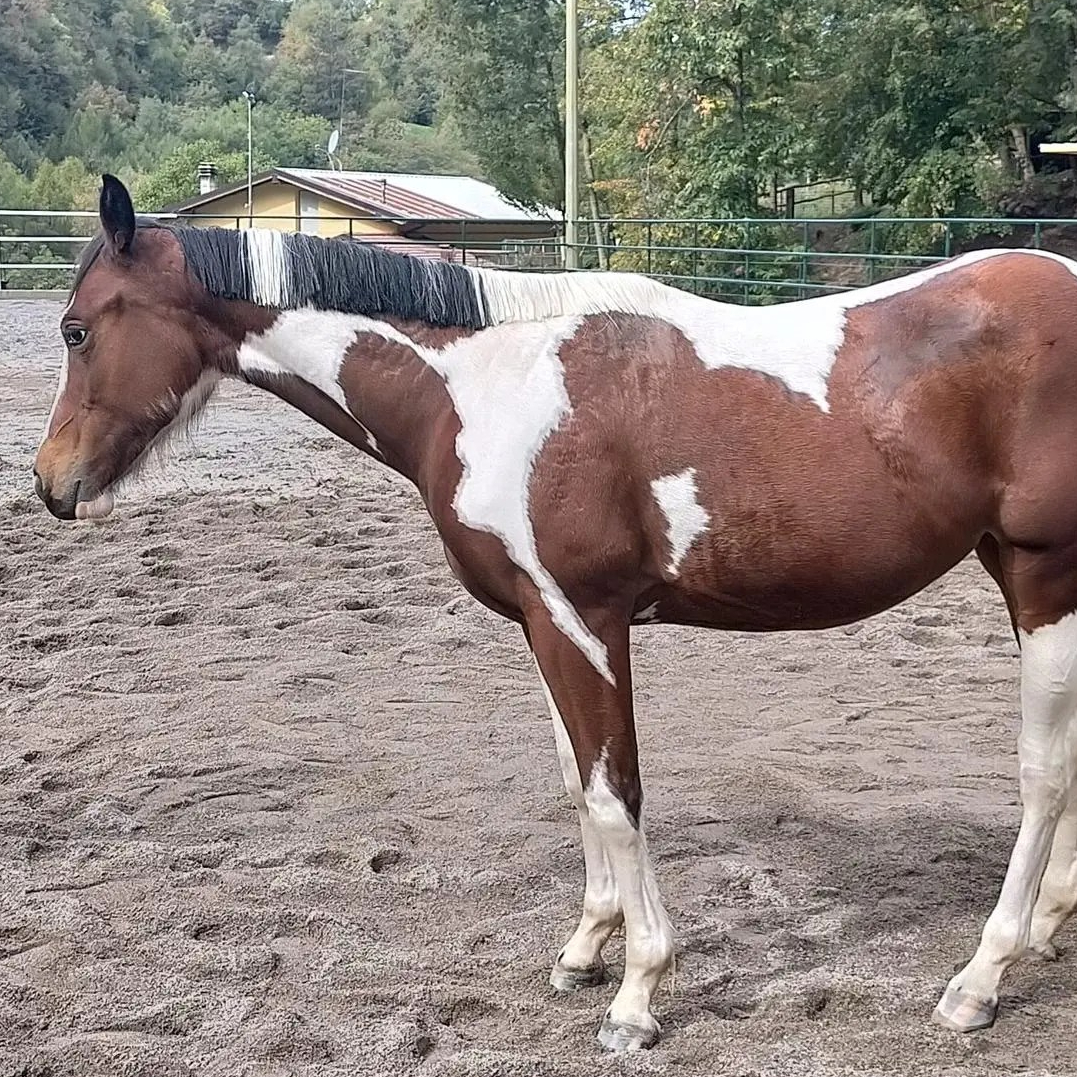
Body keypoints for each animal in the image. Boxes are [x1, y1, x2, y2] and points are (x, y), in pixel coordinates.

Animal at [31, 174, 1077, 1051]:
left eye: (77, 330)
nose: (50, 484)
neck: (483, 386)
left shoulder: (583, 617)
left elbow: (618, 792)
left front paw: (638, 994)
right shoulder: (540, 622)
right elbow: (581, 783)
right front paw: (585, 949)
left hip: (1042, 576)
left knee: (1042, 773)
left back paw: (978, 980)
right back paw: (1048, 926)